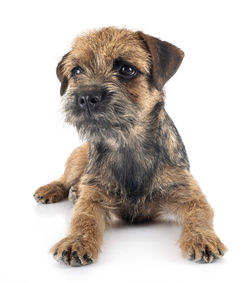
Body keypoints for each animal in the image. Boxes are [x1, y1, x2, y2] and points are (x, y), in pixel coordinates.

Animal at [33, 26, 227, 266]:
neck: (127, 144)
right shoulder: (94, 196)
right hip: (78, 157)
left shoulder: (188, 192)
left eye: (126, 69)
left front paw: (202, 238)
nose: (86, 97)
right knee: (66, 178)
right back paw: (53, 189)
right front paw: (76, 241)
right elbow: (83, 217)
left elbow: (199, 215)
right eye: (77, 71)